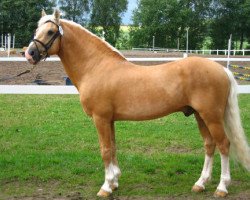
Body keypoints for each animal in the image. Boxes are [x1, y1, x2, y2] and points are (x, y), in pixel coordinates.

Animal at [25, 10, 250, 198]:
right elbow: (113, 148)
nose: (29, 54)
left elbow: (105, 150)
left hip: (211, 116)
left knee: (224, 145)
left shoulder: (100, 118)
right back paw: (200, 183)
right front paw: (114, 182)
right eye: (37, 30)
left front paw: (105, 187)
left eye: (50, 31)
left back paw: (222, 187)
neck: (96, 67)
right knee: (209, 145)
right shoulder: (109, 120)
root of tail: (221, 69)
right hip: (199, 115)